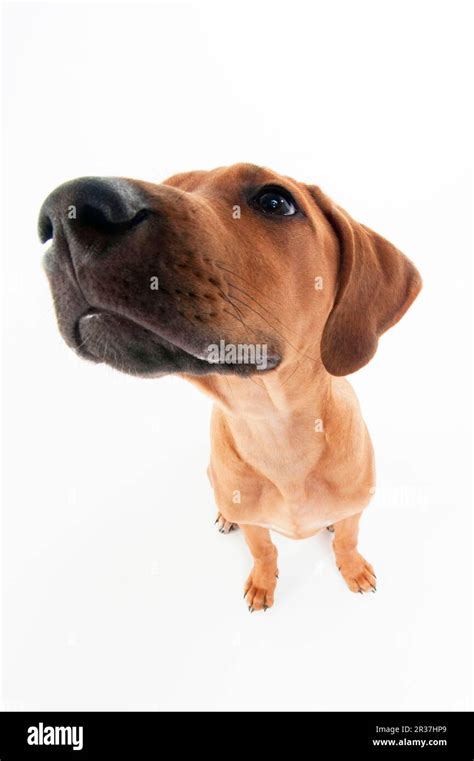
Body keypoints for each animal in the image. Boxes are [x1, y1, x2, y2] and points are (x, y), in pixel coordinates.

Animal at [39, 162, 420, 612]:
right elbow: (264, 549)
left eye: (275, 201)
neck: (275, 430)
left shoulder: (355, 509)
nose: (68, 210)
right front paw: (263, 581)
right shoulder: (256, 522)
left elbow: (347, 536)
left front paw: (353, 567)